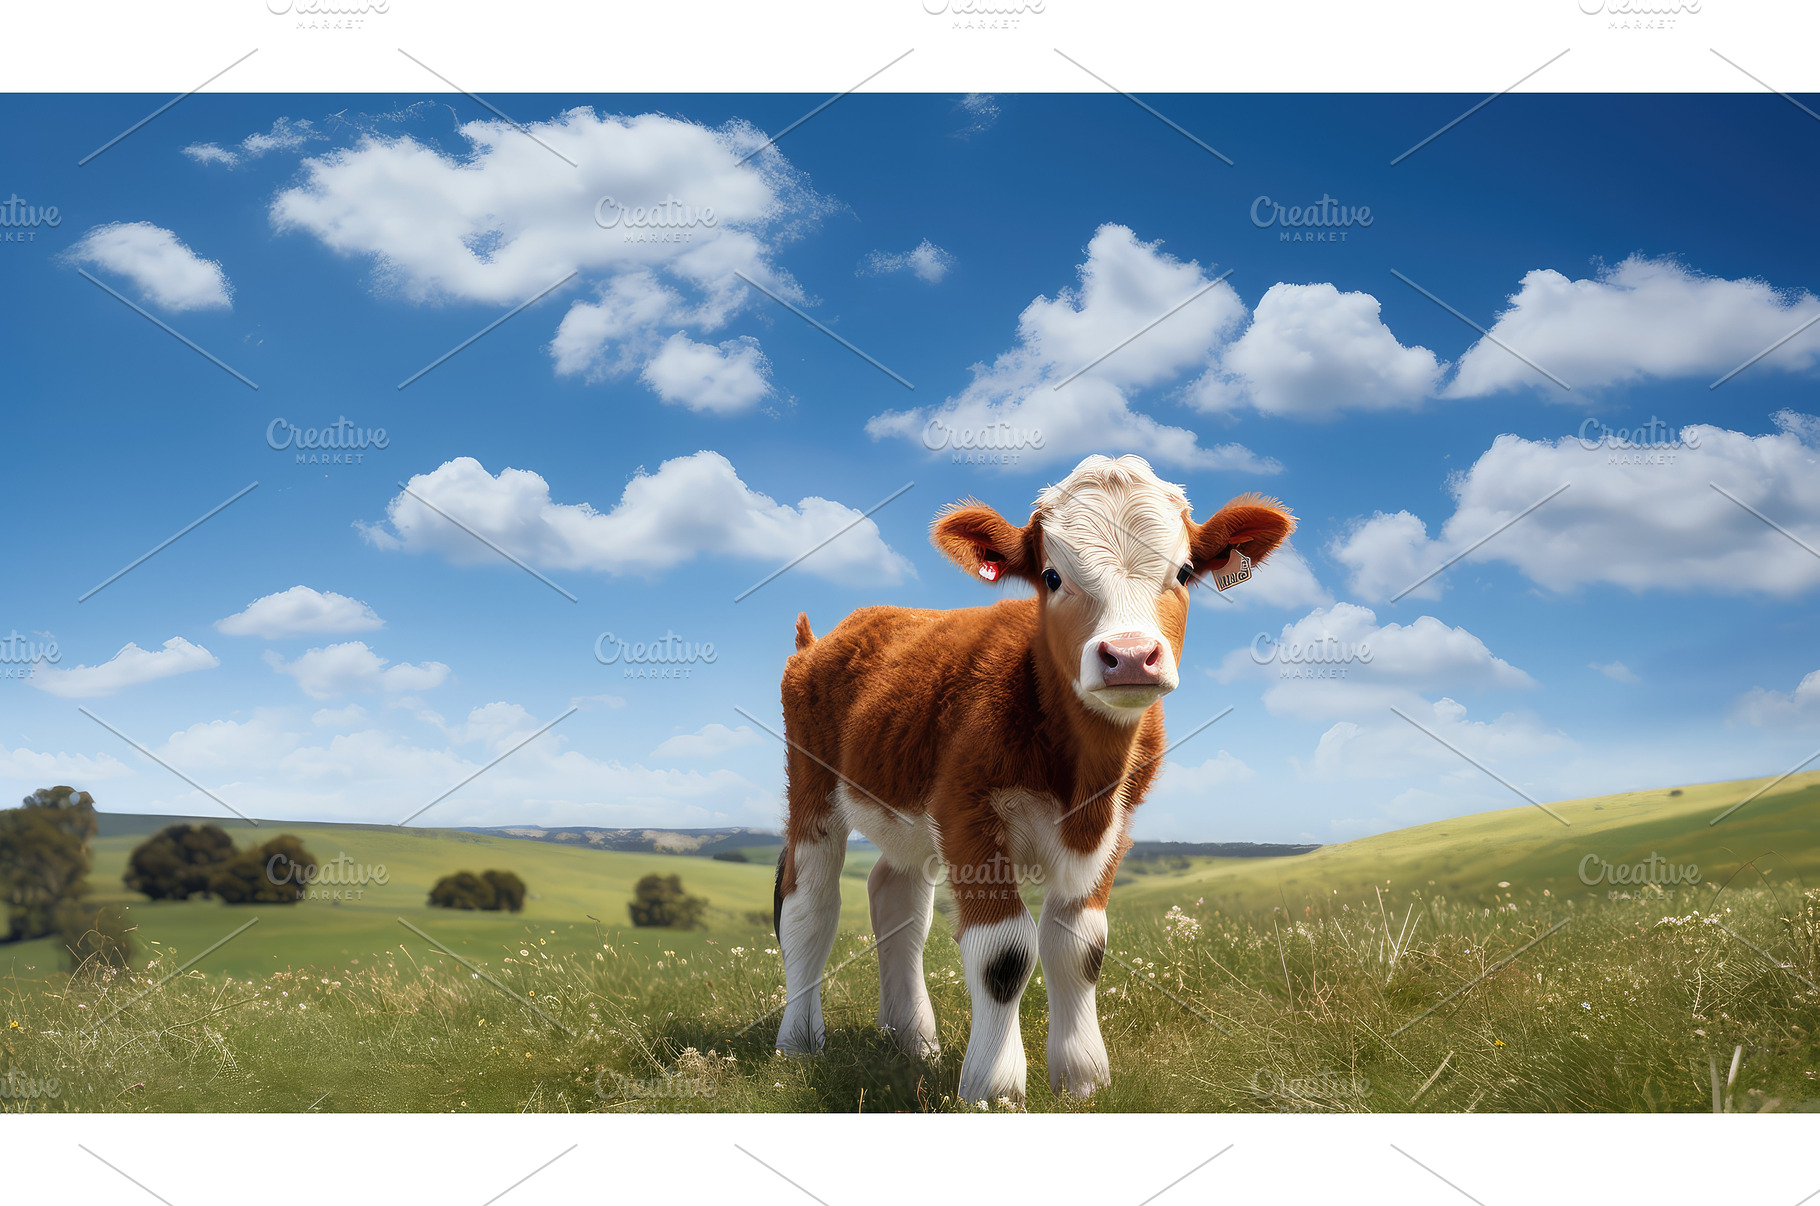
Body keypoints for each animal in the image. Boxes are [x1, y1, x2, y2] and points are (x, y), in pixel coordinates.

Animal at [771, 453, 1295, 1102]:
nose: (1129, 656)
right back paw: (799, 1042)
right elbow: (1004, 954)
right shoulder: (967, 813)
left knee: (896, 902)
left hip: (902, 809)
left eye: (1184, 571)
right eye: (1051, 576)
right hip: (811, 787)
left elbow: (1080, 947)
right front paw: (994, 1086)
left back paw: (912, 1039)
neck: (1080, 774)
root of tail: (834, 633)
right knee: (810, 907)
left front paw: (1083, 1078)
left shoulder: (1112, 826)